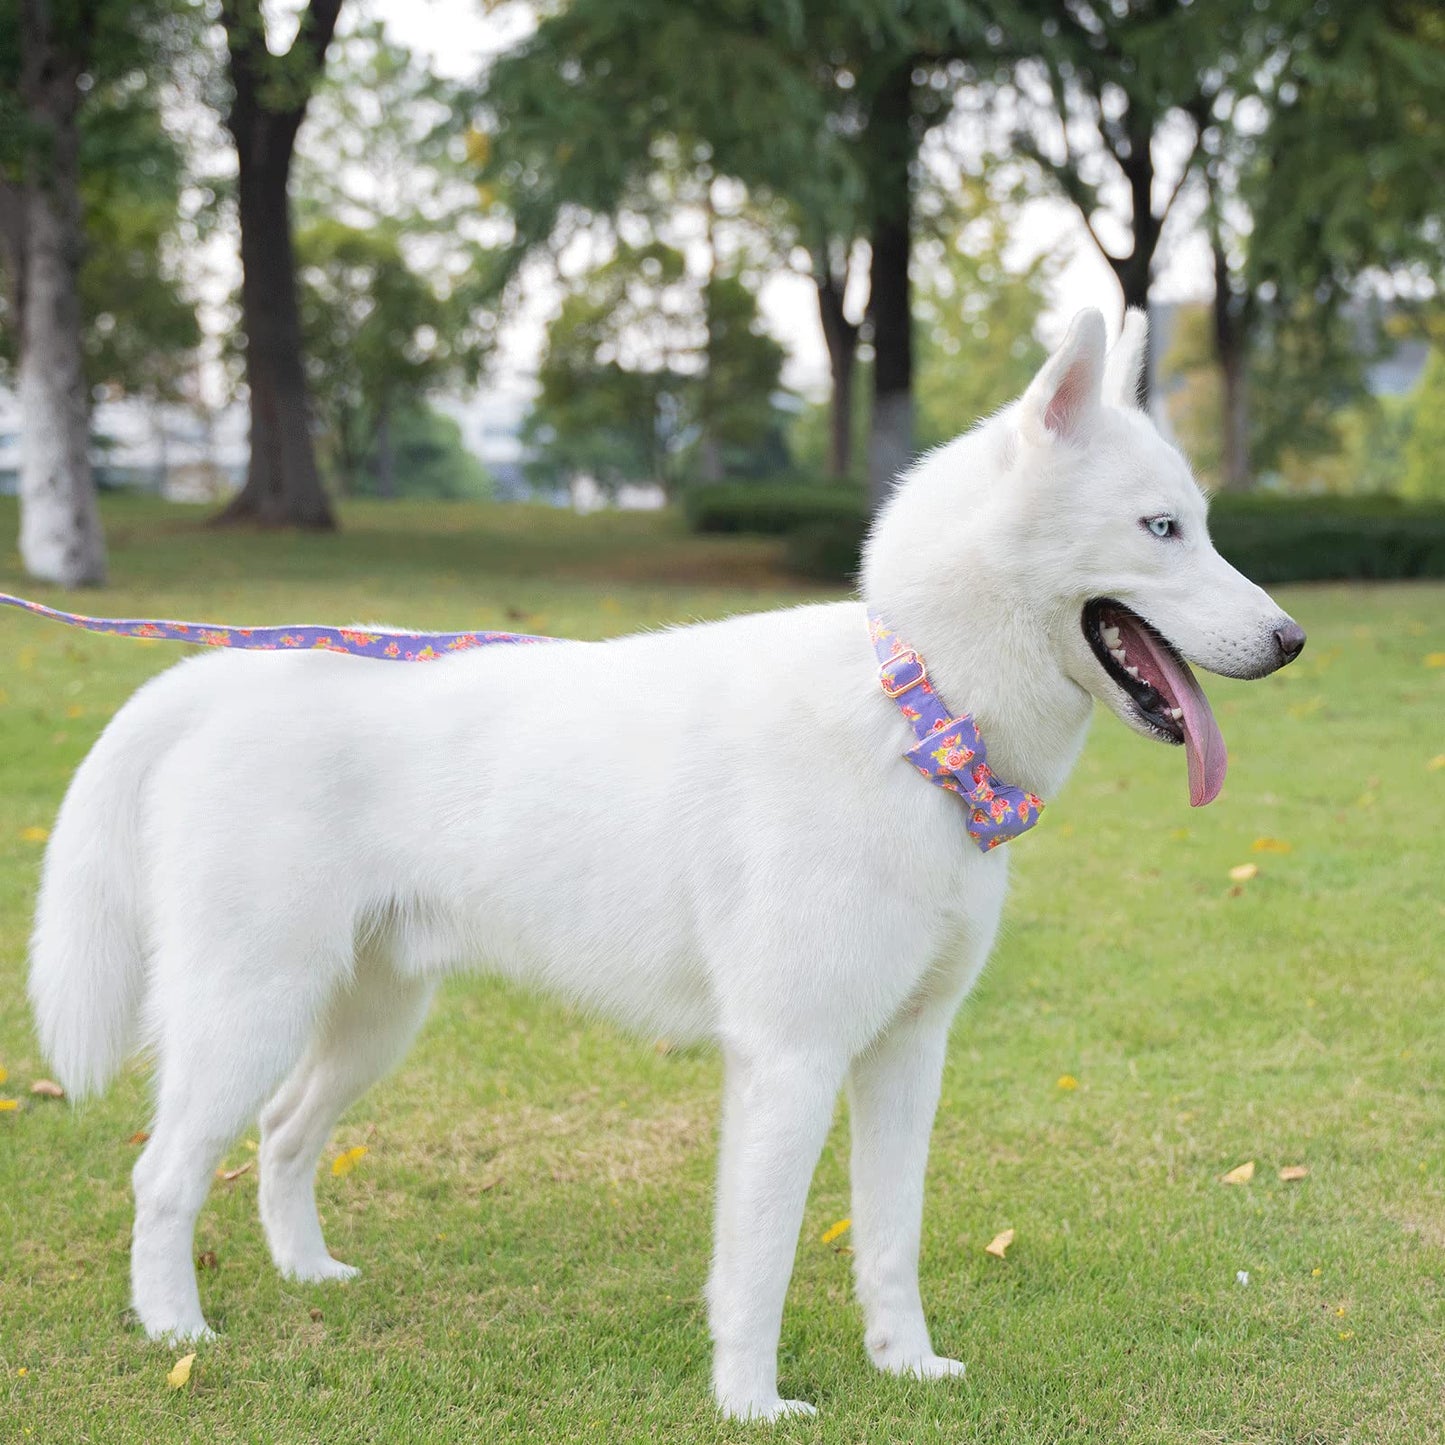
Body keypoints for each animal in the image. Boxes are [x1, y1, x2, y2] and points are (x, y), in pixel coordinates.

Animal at [28, 307, 1306, 1421]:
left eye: (1199, 522)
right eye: (1160, 528)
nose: (1290, 639)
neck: (914, 706)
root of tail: (218, 673)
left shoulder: (905, 1053)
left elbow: (887, 1238)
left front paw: (903, 1364)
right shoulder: (788, 1062)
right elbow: (760, 1261)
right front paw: (749, 1404)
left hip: (369, 1015)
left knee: (285, 1132)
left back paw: (306, 1275)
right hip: (250, 1007)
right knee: (164, 1172)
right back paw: (176, 1330)